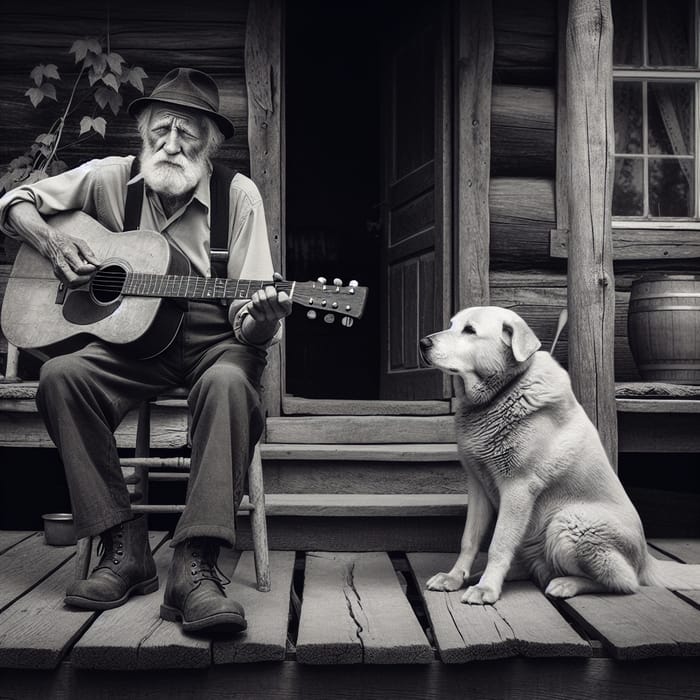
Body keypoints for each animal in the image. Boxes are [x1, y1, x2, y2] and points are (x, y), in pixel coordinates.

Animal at [422, 308, 700, 604]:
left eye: (470, 331)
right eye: (451, 324)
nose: (422, 343)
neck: (502, 393)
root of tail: (647, 559)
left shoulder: (518, 488)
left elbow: (499, 544)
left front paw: (487, 588)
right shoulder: (477, 486)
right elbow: (469, 540)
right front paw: (454, 577)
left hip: (568, 522)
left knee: (625, 583)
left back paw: (566, 583)